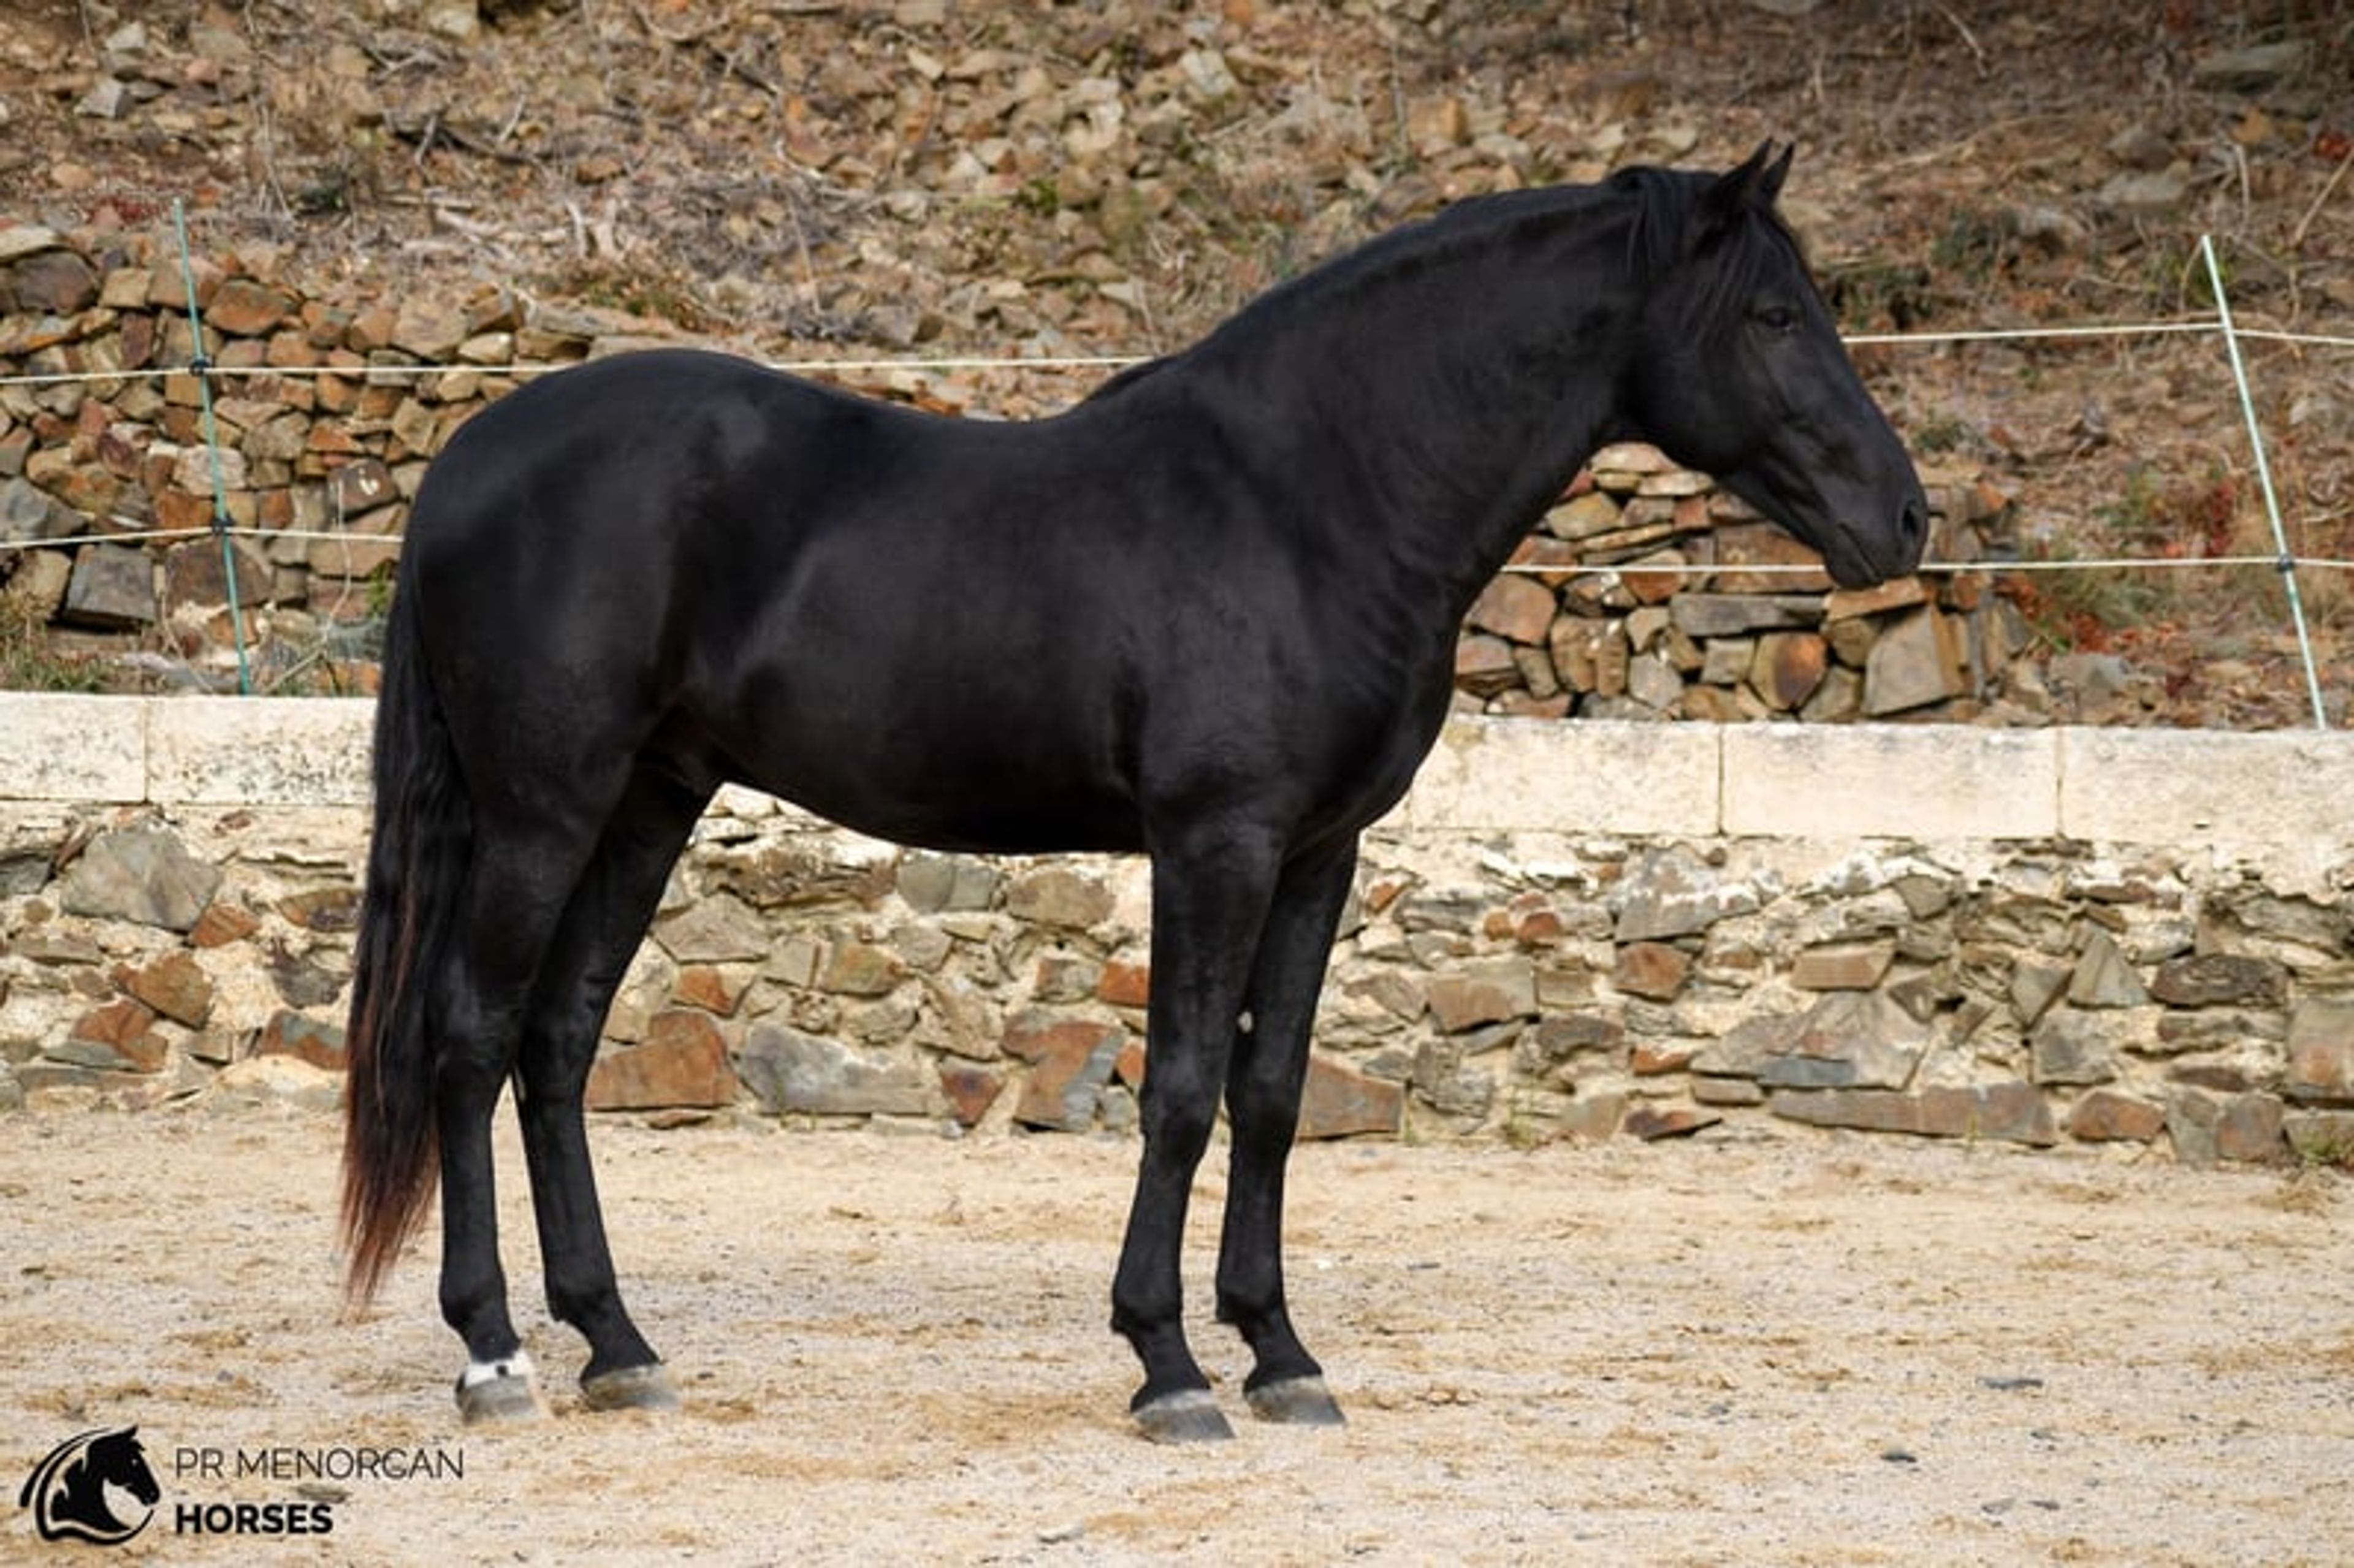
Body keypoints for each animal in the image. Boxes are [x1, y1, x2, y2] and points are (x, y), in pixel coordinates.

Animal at [339, 143, 1926, 1442]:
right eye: (1774, 316)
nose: (1901, 517)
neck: (1309, 500)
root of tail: (470, 455)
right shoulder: (1213, 842)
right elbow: (1177, 1089)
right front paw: (1167, 1364)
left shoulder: (1319, 853)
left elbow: (1271, 1093)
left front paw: (1281, 1353)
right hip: (545, 809)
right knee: (471, 1038)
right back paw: (493, 1354)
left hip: (647, 802)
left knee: (555, 1043)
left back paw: (617, 1344)